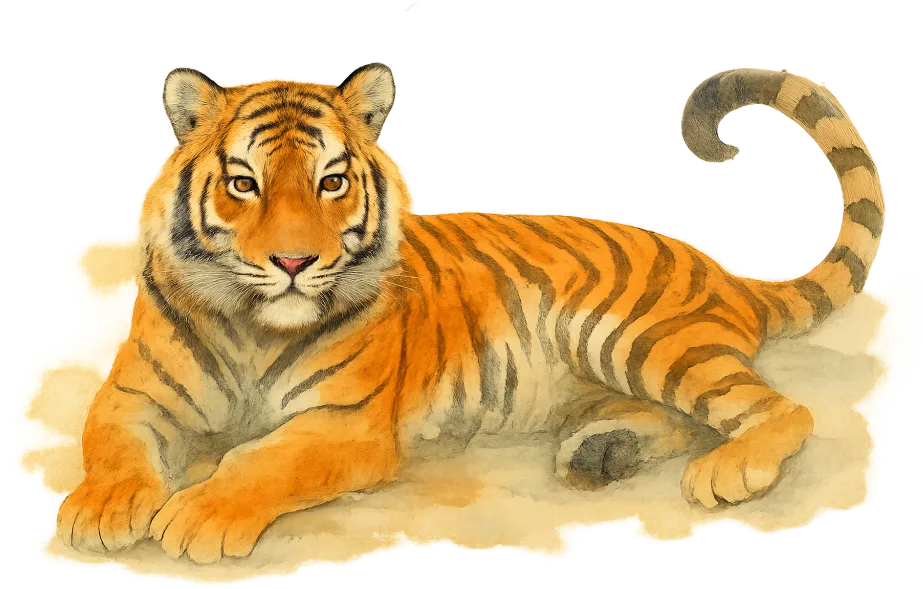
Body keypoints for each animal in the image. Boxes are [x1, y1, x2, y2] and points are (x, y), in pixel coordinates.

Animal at [55, 64, 885, 564]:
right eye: (243, 183)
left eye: (330, 182)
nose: (292, 263)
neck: (251, 322)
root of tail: (722, 264)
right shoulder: (132, 395)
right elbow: (111, 444)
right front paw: (98, 509)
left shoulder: (341, 423)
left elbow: (258, 460)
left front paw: (197, 515)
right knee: (686, 415)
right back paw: (602, 453)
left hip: (634, 334)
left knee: (777, 407)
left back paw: (729, 469)